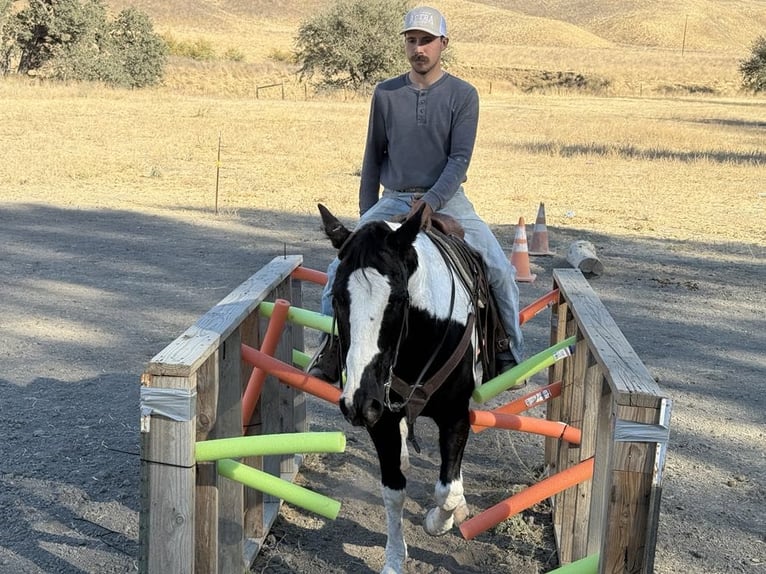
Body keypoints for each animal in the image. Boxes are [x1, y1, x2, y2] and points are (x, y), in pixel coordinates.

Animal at [316, 205, 498, 572]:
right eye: (337, 296)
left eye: (399, 299)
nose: (358, 402)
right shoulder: (381, 418)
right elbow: (394, 489)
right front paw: (395, 559)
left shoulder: (456, 415)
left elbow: (447, 490)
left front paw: (438, 523)